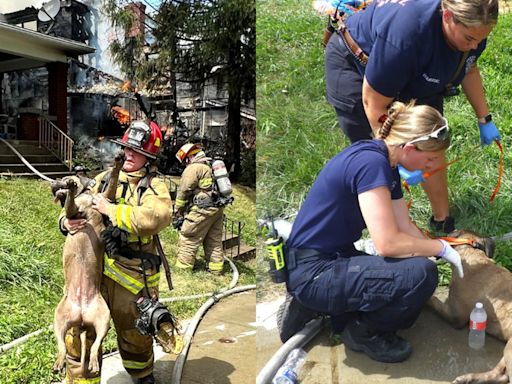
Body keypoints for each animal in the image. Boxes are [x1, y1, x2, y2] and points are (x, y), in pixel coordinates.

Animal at [50, 153, 124, 376]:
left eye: (63, 176)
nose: (52, 183)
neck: (87, 196)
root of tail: (81, 317)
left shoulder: (106, 197)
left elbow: (114, 177)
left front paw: (119, 160)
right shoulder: (73, 213)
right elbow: (71, 206)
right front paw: (72, 190)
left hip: (104, 318)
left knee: (95, 344)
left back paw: (92, 362)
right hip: (59, 318)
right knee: (62, 346)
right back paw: (59, 362)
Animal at [428, 231, 512, 384]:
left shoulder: (456, 316)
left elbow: (435, 301)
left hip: (510, 348)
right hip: (509, 347)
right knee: (500, 375)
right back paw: (468, 378)